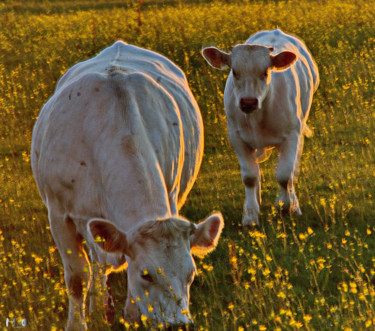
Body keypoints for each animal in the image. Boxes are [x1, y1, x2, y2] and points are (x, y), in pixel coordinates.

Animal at [31, 40, 223, 330]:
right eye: (146, 274)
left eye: (191, 274)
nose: (179, 324)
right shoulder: (58, 215)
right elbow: (77, 278)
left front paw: (130, 314)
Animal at [203, 29, 320, 228]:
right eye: (234, 72)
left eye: (265, 72)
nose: (248, 101)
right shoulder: (236, 137)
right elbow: (250, 177)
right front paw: (250, 215)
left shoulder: (291, 136)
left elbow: (285, 175)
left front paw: (285, 206)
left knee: (292, 171)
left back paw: (294, 205)